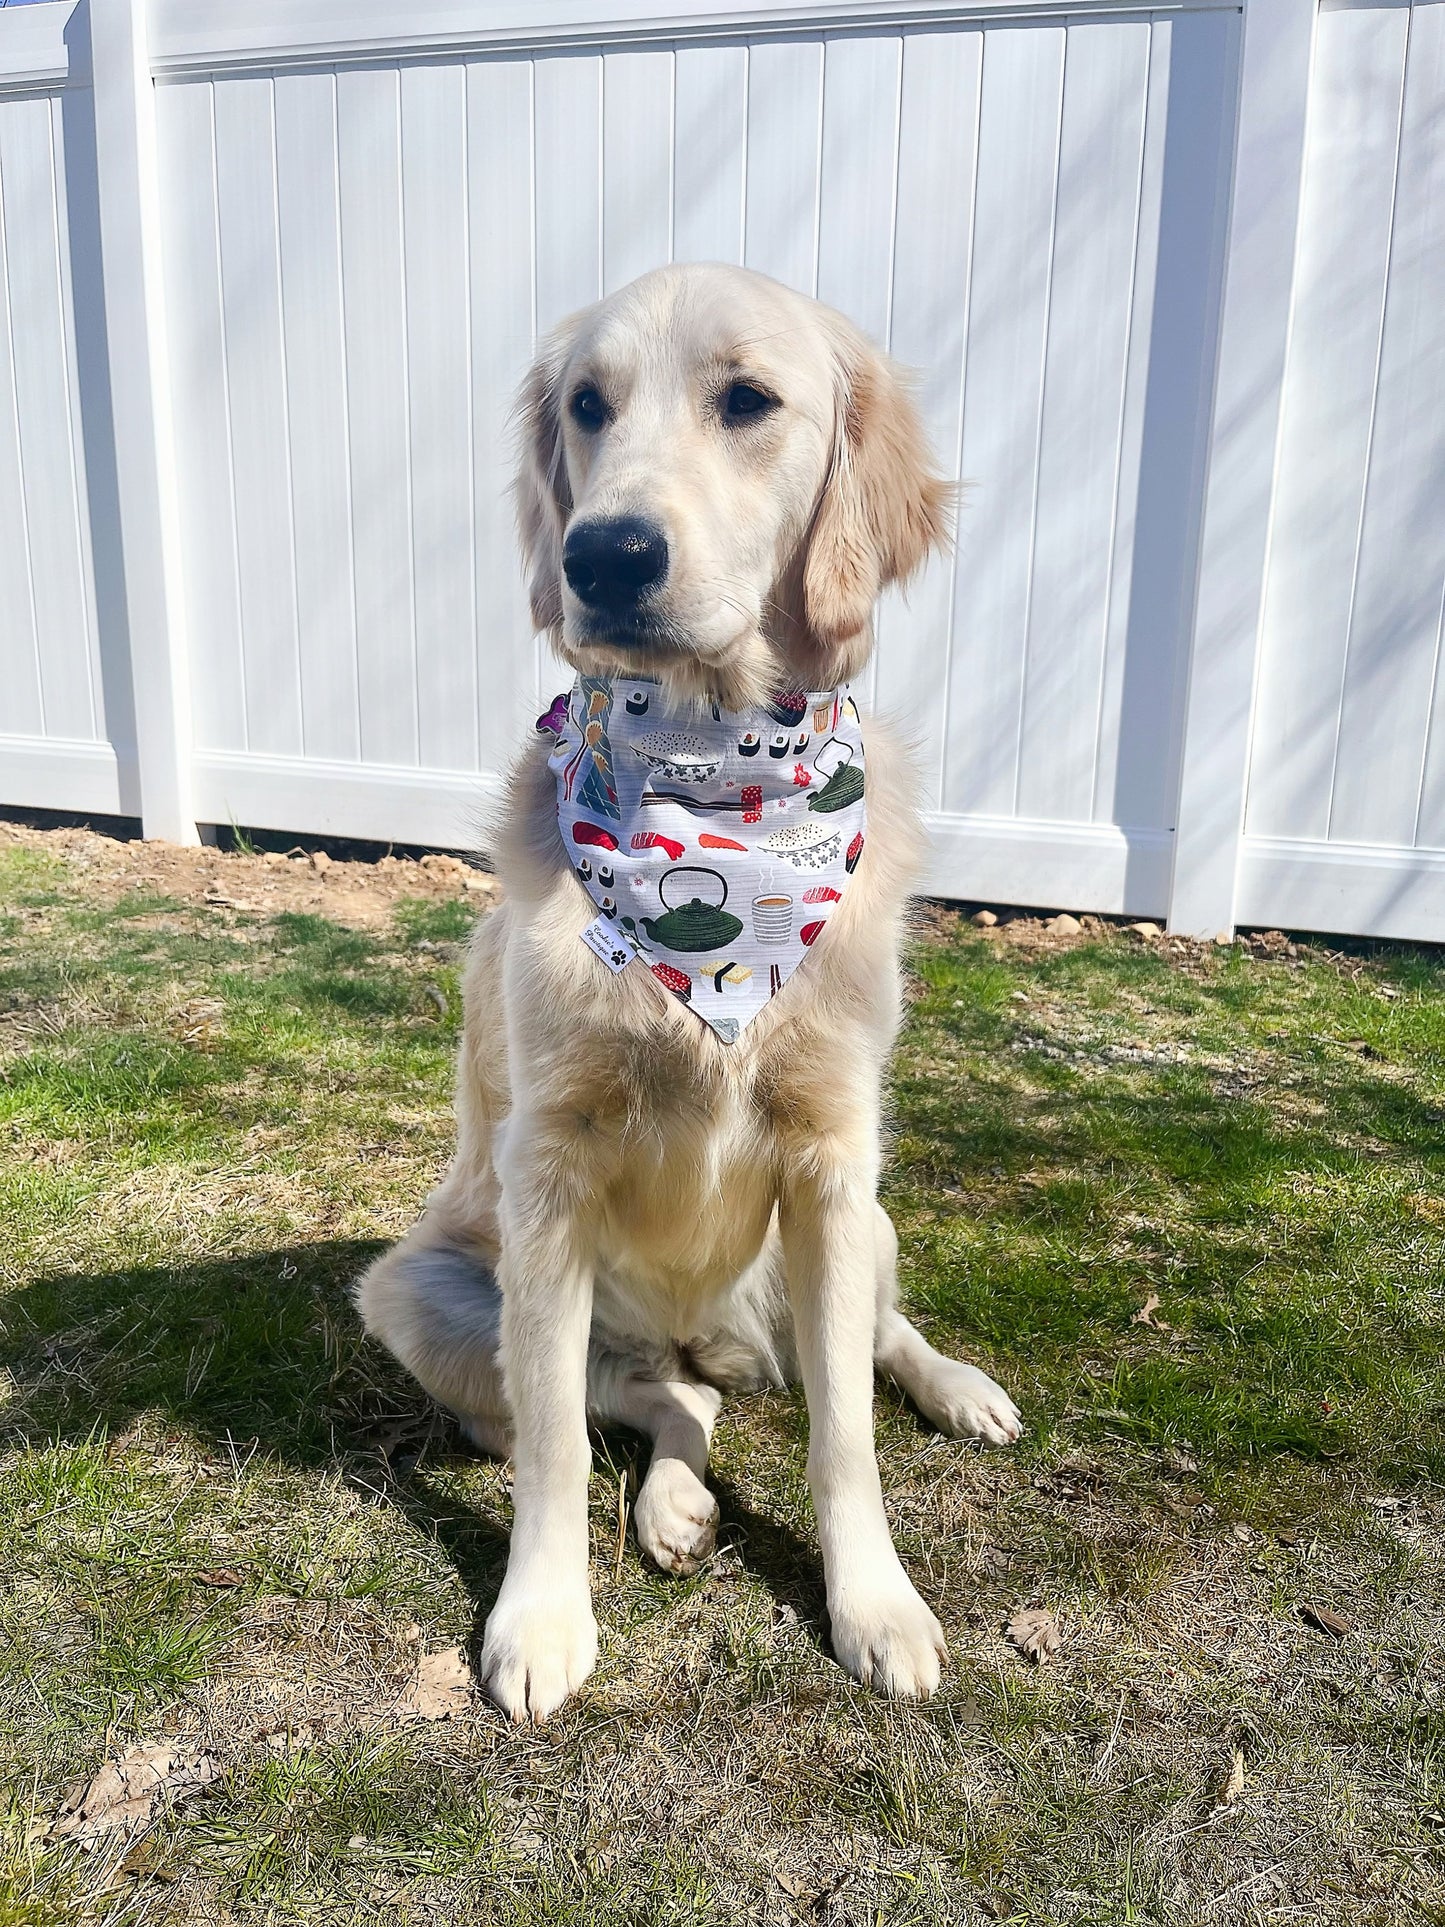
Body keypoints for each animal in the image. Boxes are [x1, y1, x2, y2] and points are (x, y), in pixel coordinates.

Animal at [356, 263, 1024, 1726]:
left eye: (748, 400)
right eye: (588, 407)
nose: (602, 555)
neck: (712, 772)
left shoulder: (833, 1160)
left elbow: (844, 1436)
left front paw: (873, 1603)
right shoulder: (548, 1172)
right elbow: (554, 1442)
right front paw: (541, 1618)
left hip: (863, 1227)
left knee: (868, 1344)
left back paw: (957, 1386)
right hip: (423, 1295)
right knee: (664, 1401)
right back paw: (671, 1499)